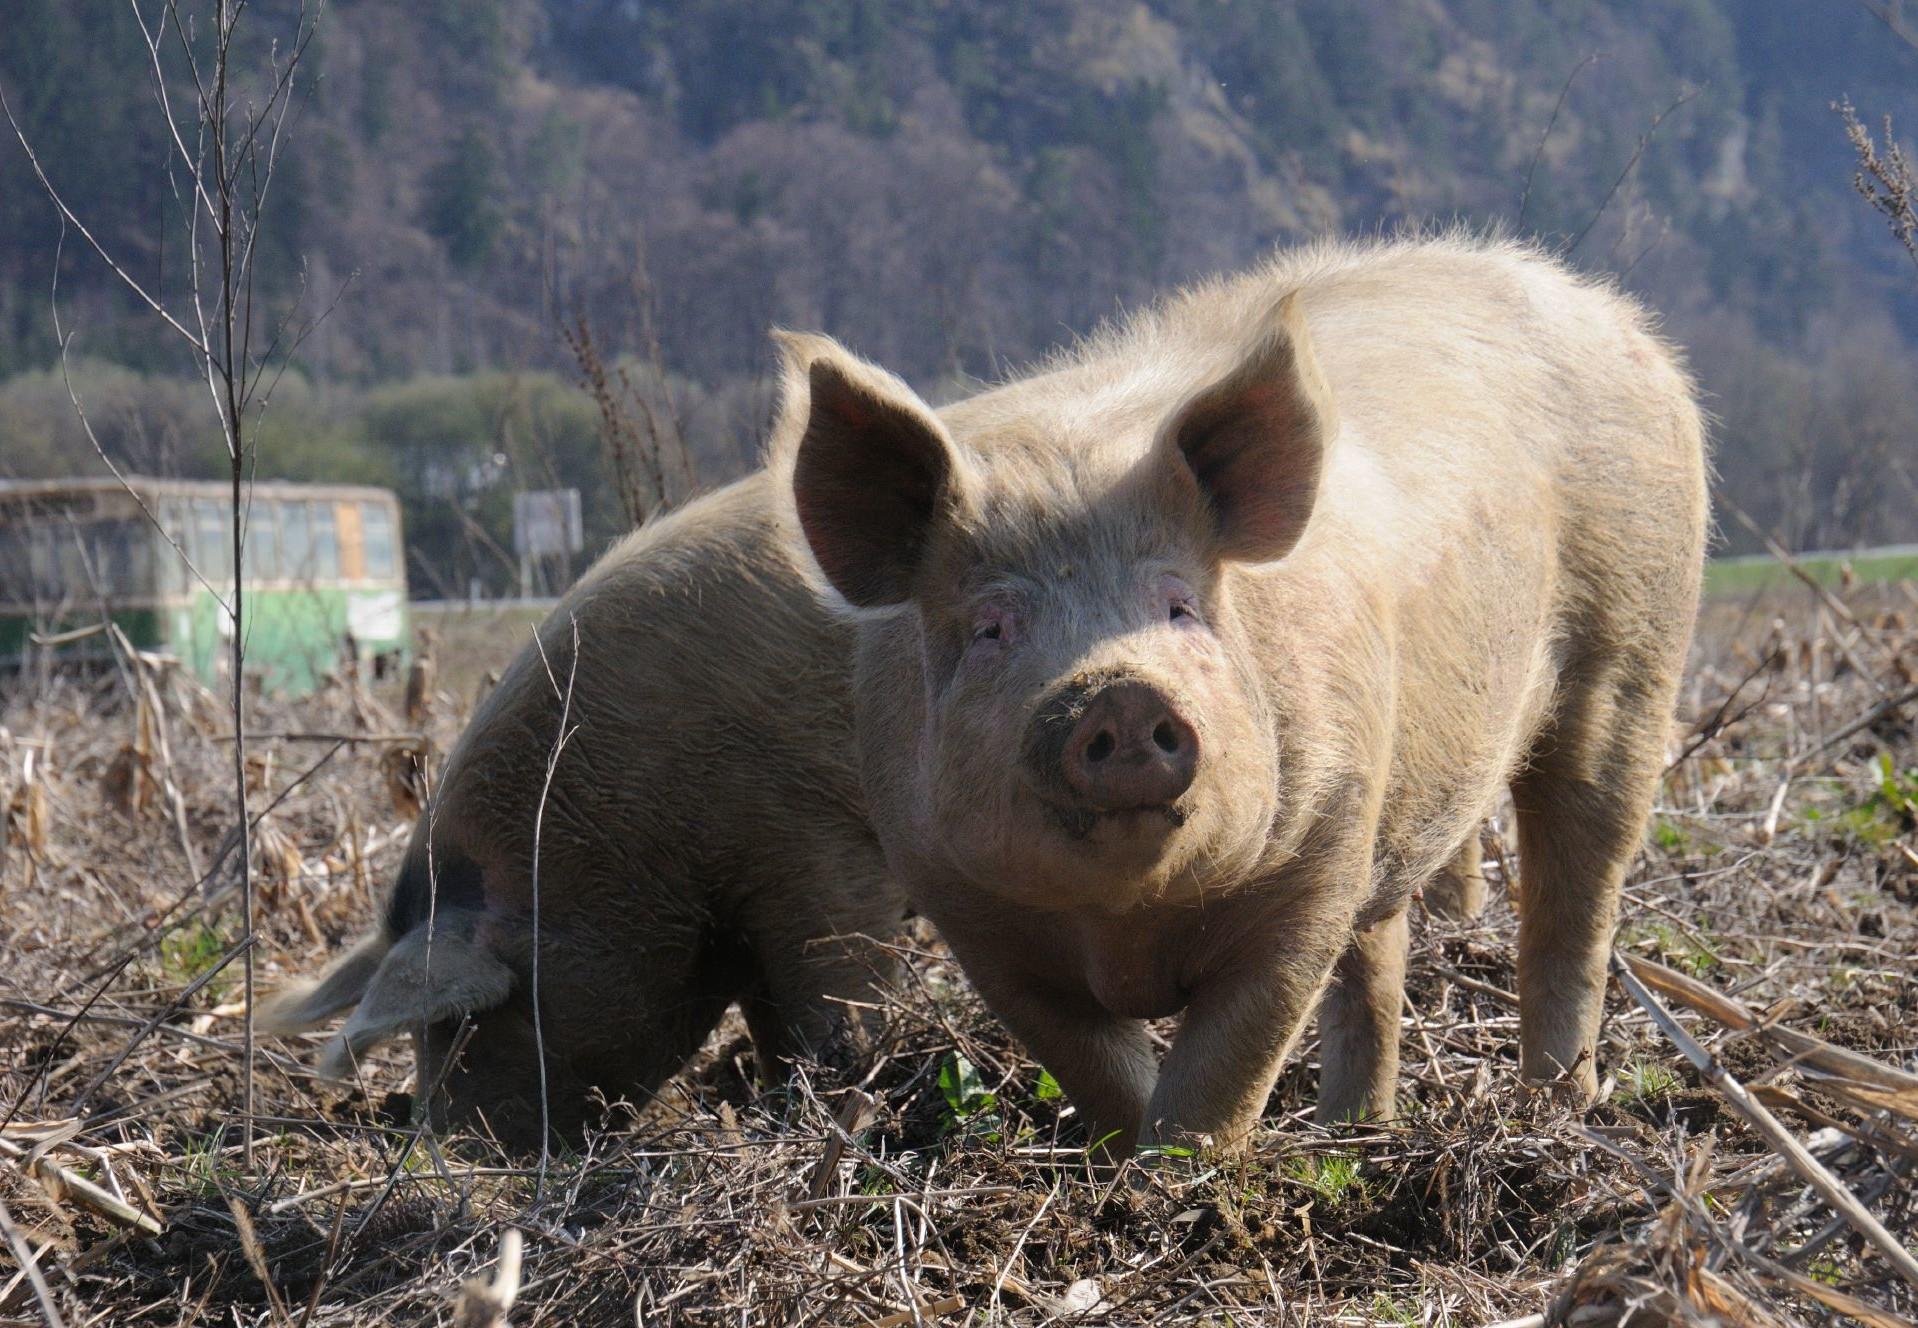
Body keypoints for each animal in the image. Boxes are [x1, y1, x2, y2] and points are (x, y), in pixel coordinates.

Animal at [259, 474, 905, 1144]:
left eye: (469, 1021)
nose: (441, 1140)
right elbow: (771, 1023)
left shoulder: (817, 846)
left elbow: (834, 999)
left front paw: (827, 1103)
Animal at [772, 234, 1707, 1154]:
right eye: (990, 628)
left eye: (1181, 605)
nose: (1119, 693)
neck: (1126, 923)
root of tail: (1611, 312)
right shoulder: (964, 910)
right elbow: (1093, 1067)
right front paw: (1126, 1167)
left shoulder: (1315, 853)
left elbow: (1225, 1068)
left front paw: (1186, 1175)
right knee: (1381, 957)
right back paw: (1353, 1133)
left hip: (1636, 649)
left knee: (1575, 897)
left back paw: (1559, 1113)